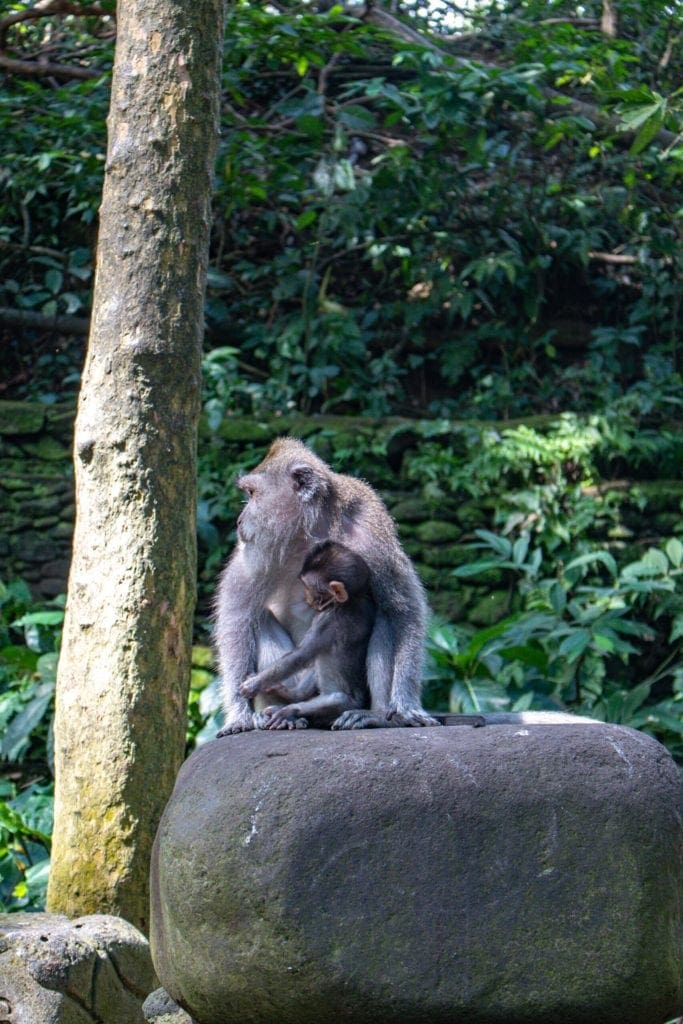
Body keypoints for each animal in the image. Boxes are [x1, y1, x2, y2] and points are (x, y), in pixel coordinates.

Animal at [239, 544, 374, 729]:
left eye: (309, 587)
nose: (307, 599)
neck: (351, 601)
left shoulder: (326, 620)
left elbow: (301, 656)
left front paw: (254, 684)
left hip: (344, 705)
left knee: (336, 699)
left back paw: (290, 710)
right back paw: (293, 695)